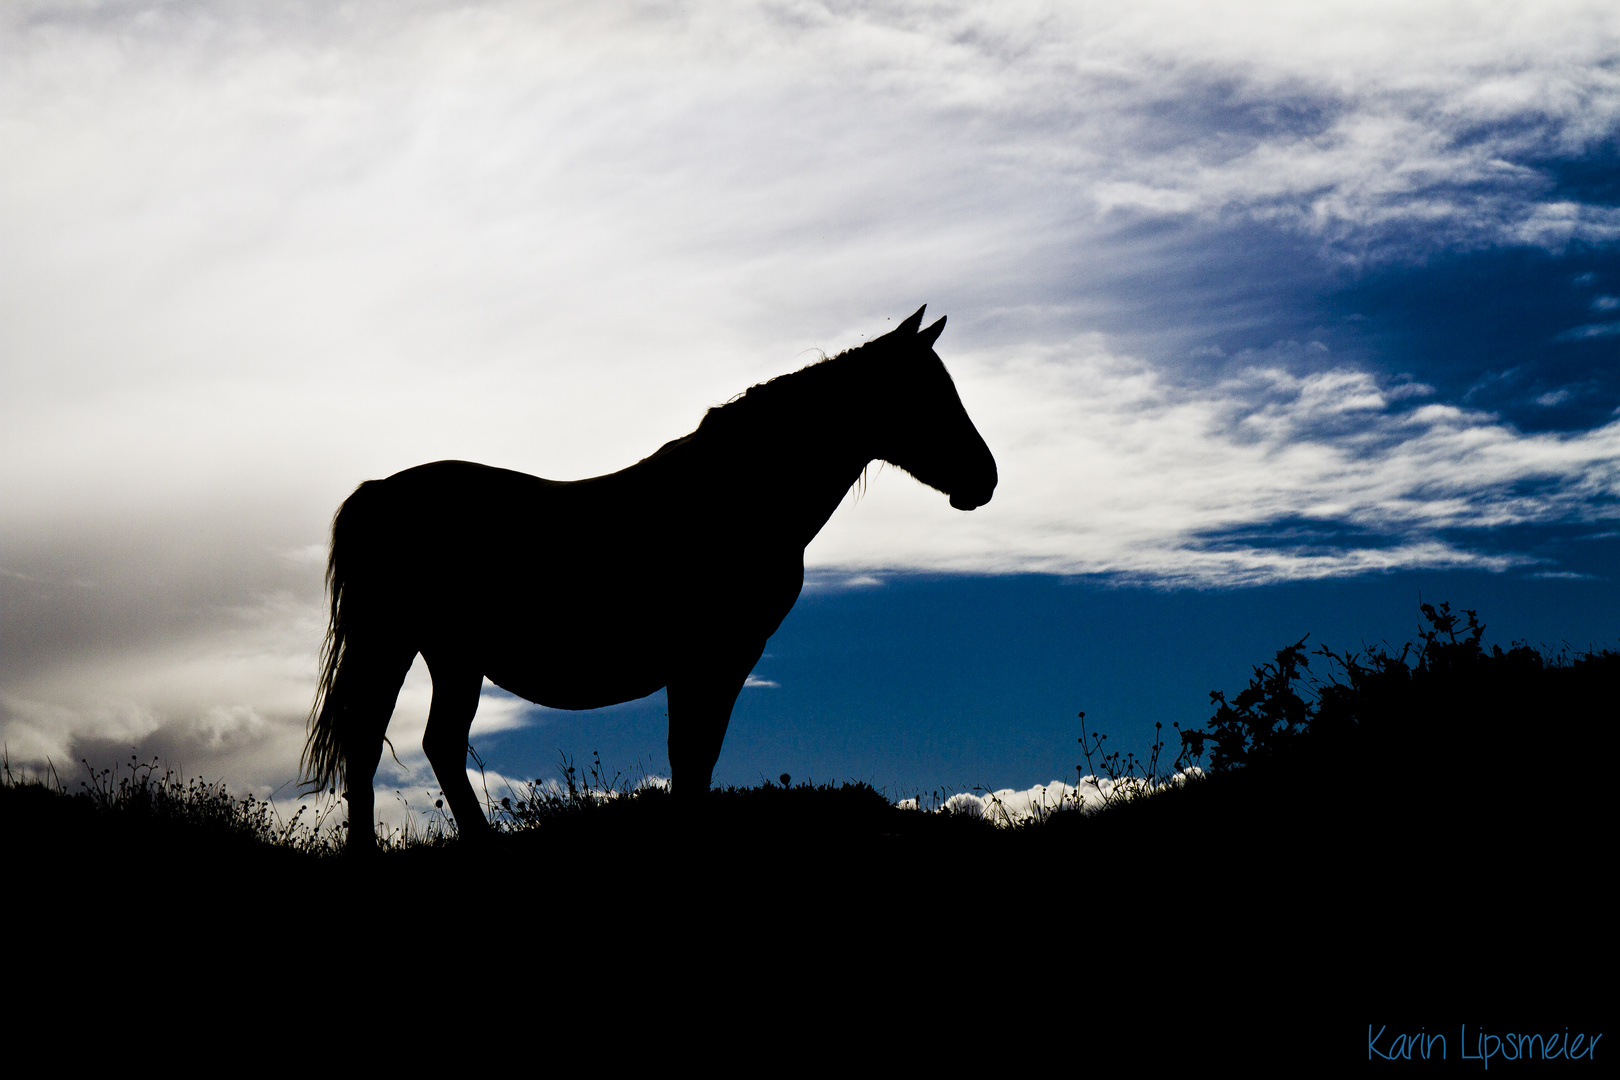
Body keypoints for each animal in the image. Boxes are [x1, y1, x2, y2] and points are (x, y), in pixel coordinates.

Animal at [298, 306, 991, 854]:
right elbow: (693, 754)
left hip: (451, 655)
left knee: (436, 743)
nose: (985, 480)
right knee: (369, 741)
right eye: (925, 392)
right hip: (392, 641)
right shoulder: (713, 657)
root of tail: (378, 491)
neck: (742, 496)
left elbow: (695, 758)